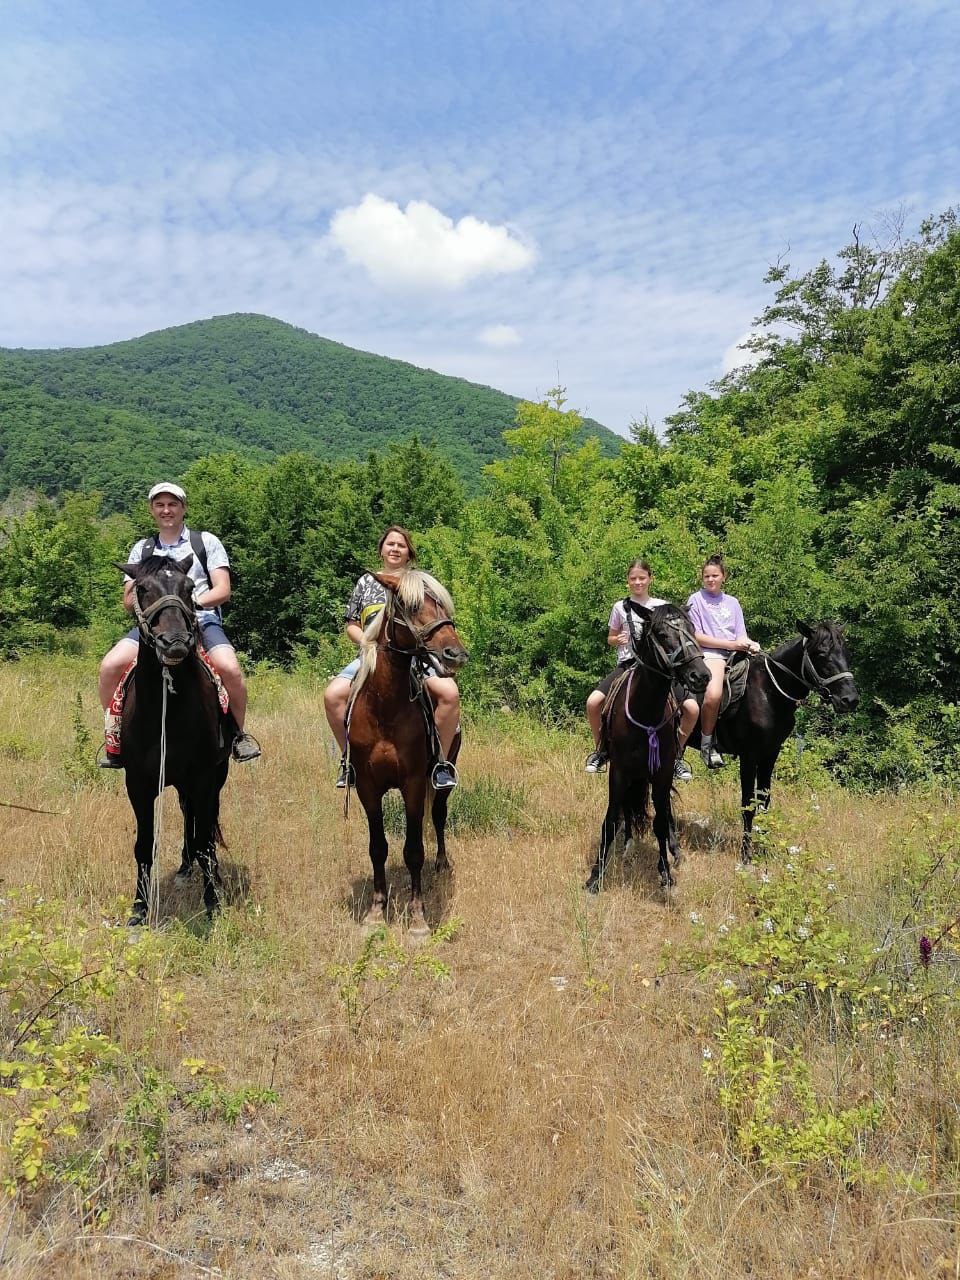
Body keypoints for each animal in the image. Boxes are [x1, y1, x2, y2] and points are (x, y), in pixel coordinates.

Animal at [116, 555, 235, 926]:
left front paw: (212, 902)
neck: (165, 710)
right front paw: (139, 908)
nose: (175, 642)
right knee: (187, 813)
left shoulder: (203, 778)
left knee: (204, 823)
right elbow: (144, 844)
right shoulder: (138, 783)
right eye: (142, 588)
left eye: (189, 587)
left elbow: (205, 840)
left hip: (215, 777)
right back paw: (185, 867)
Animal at [345, 570, 471, 942]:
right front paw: (376, 912)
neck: (385, 708)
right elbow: (378, 847)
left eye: (442, 604)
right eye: (412, 606)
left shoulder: (414, 784)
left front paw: (418, 919)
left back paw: (441, 862)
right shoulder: (367, 787)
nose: (455, 654)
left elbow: (414, 850)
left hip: (443, 777)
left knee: (439, 816)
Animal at [583, 604, 711, 896]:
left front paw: (666, 874)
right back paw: (628, 844)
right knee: (628, 809)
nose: (701, 676)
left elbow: (661, 822)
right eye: (662, 634)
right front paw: (596, 876)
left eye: (693, 629)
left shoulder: (662, 773)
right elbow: (611, 819)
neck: (645, 710)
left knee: (664, 811)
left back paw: (674, 850)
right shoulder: (619, 771)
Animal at [686, 619, 860, 860]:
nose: (850, 700)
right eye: (821, 653)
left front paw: (764, 848)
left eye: (846, 652)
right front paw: (746, 855)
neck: (768, 692)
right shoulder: (749, 756)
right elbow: (748, 804)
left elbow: (764, 800)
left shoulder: (770, 754)